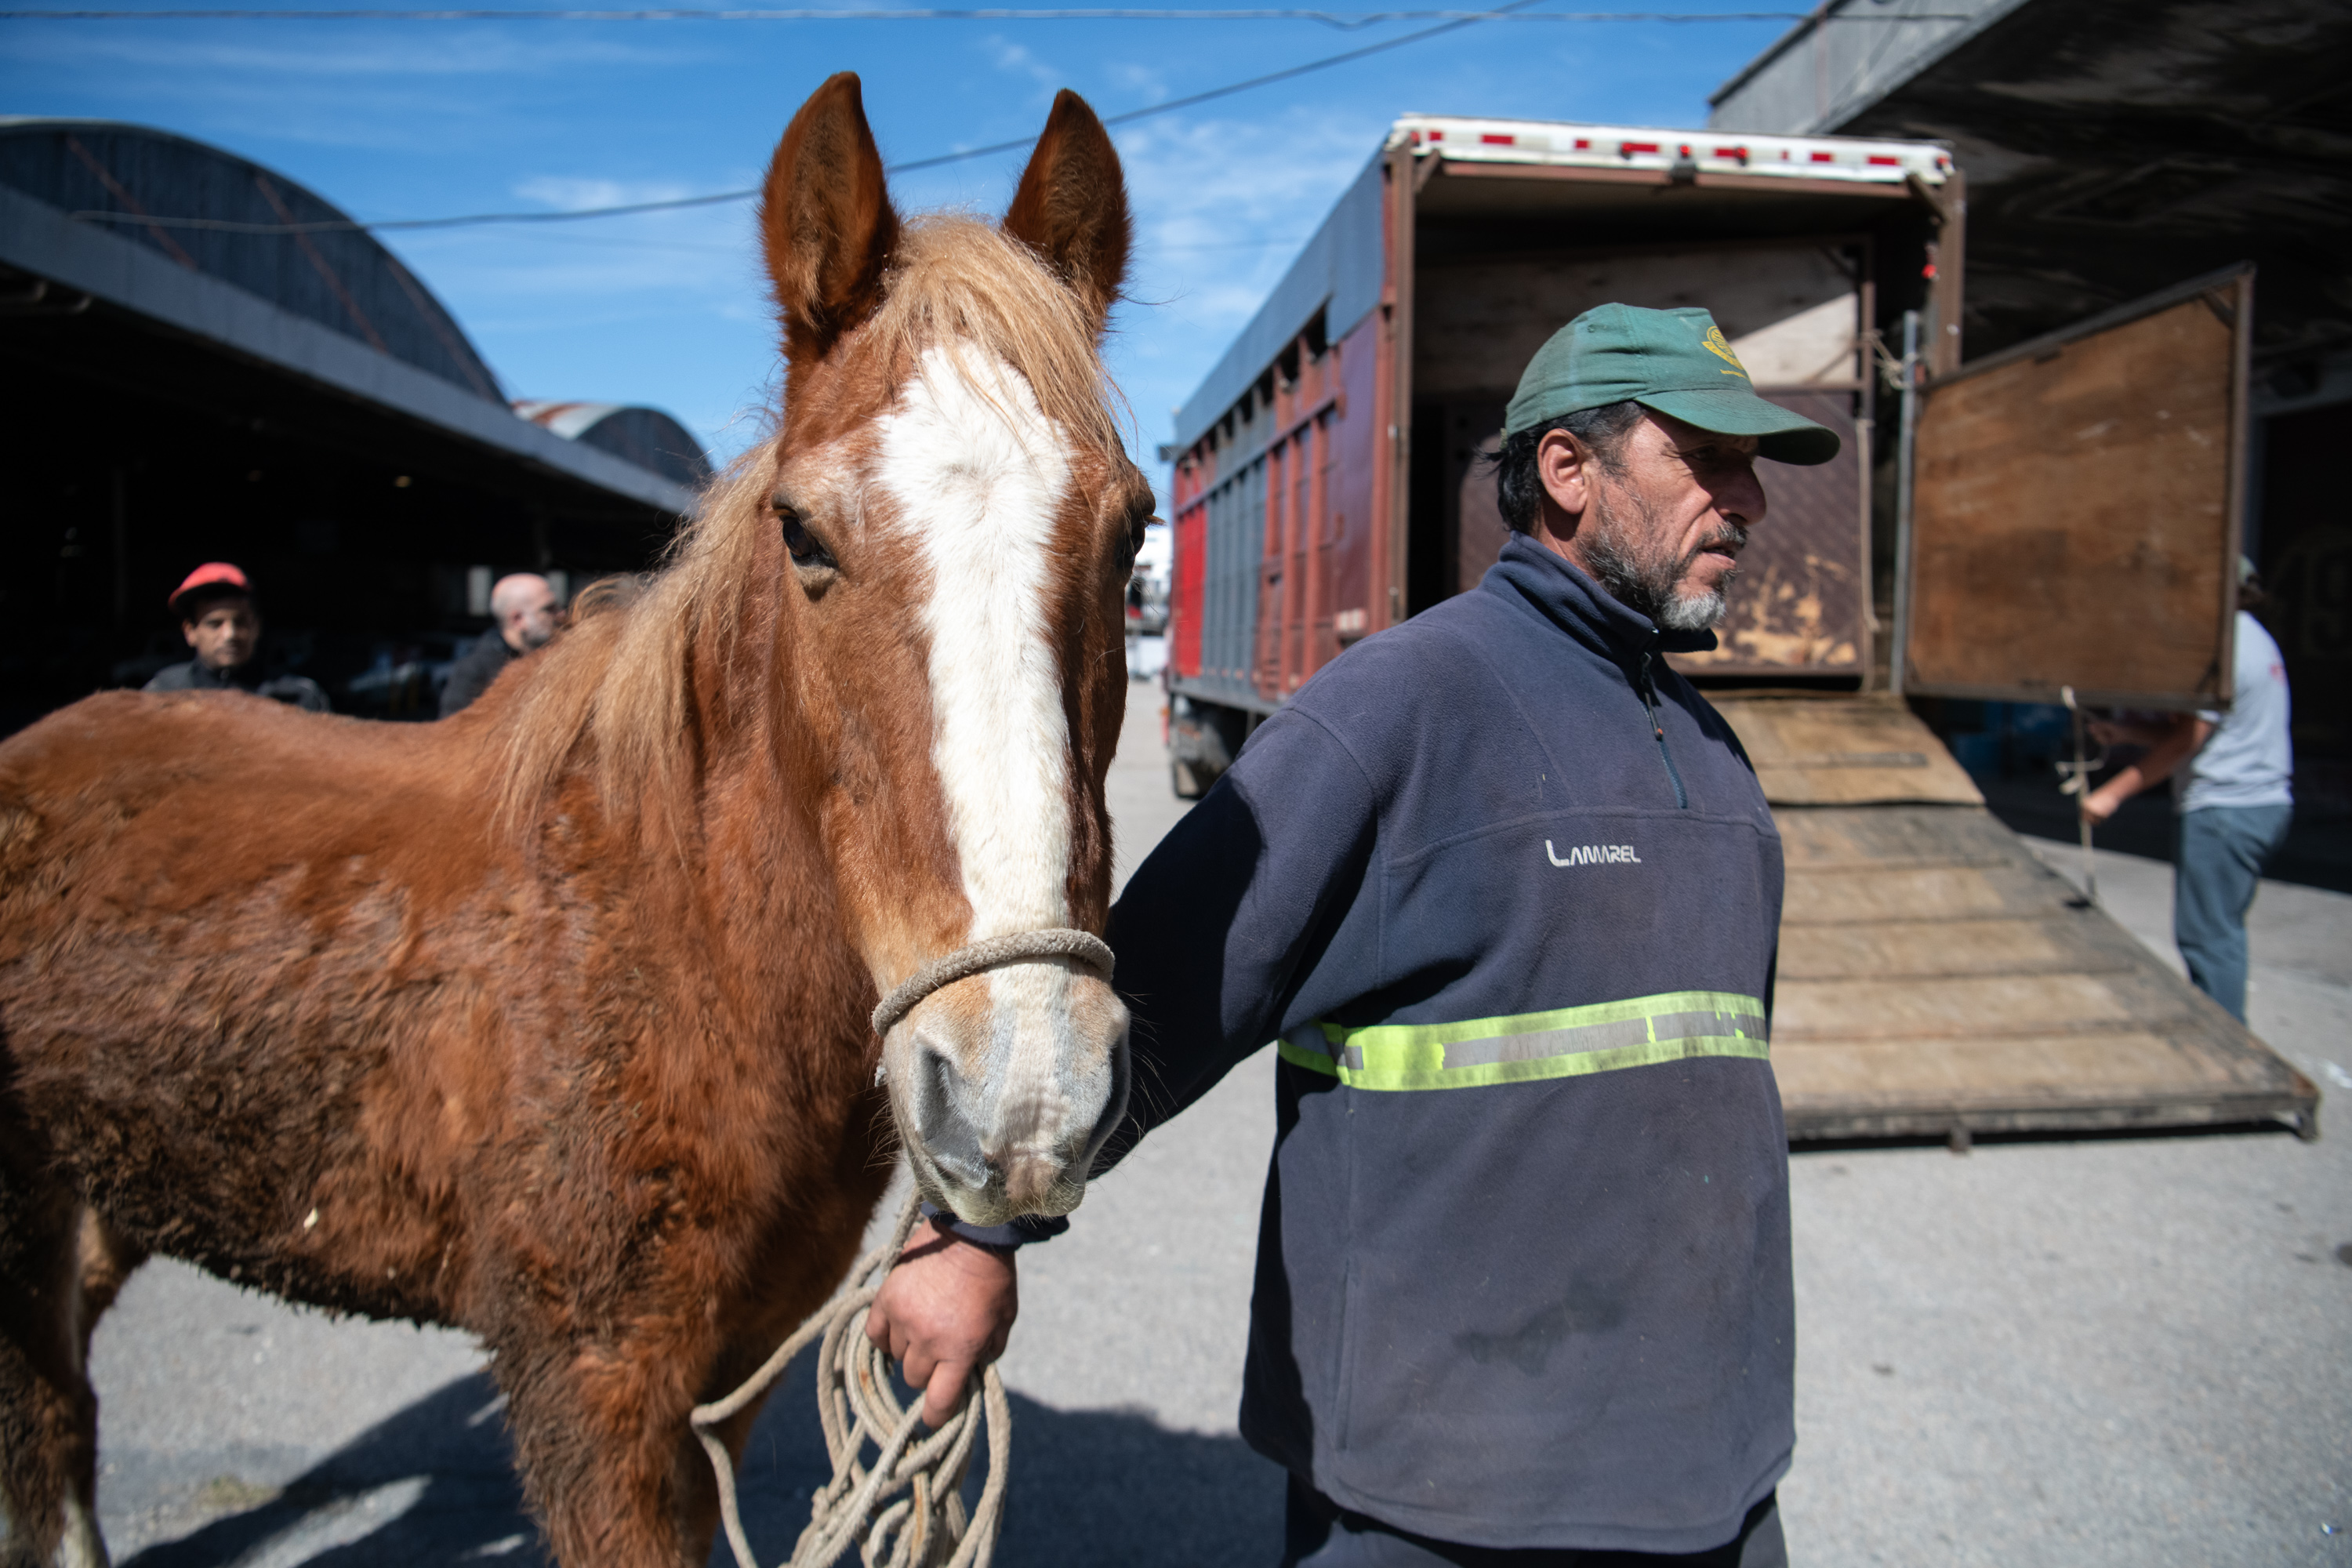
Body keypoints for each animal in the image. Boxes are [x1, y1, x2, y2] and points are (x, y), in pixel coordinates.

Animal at [0, 73, 1148, 1568]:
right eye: (803, 534)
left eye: (1133, 535)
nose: (1030, 1093)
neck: (662, 938)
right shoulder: (593, 1395)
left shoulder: (734, 1377)